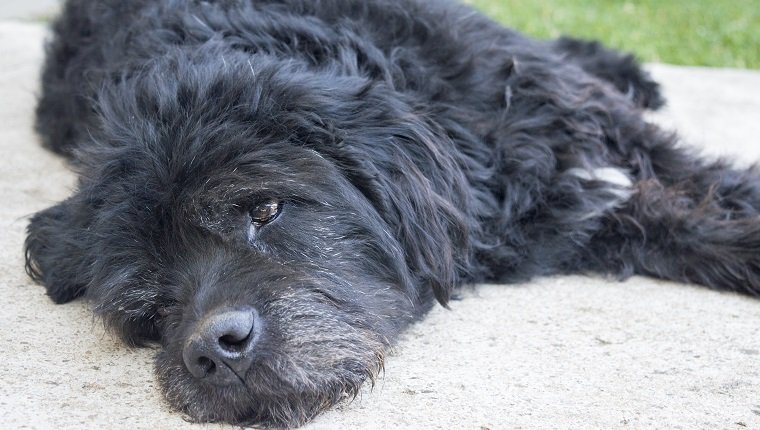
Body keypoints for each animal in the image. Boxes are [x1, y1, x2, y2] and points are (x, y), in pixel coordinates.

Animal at [23, 0, 760, 426]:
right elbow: (667, 222)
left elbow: (688, 175)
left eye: (265, 208)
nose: (212, 350)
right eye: (148, 303)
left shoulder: (564, 111)